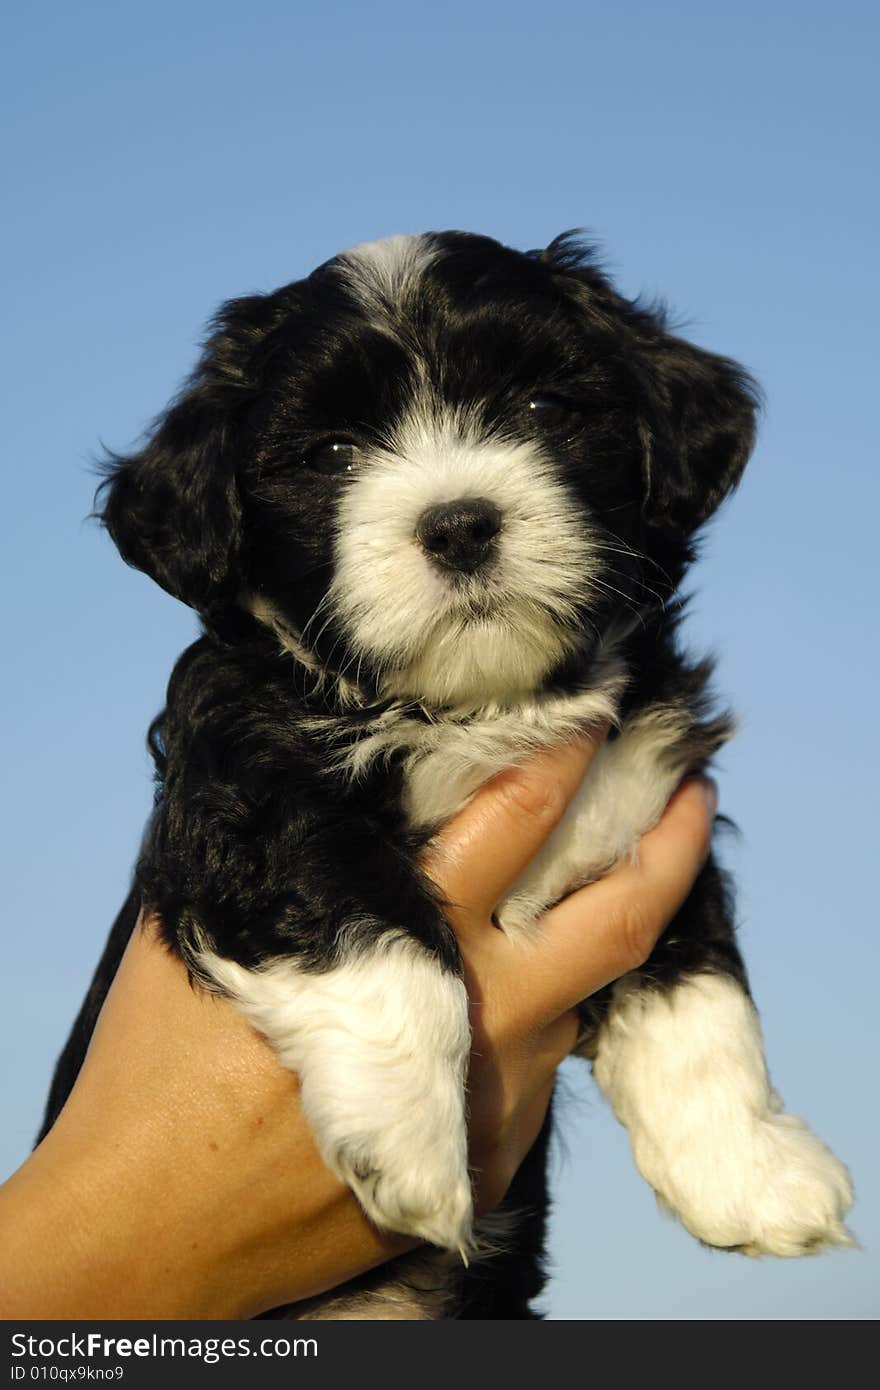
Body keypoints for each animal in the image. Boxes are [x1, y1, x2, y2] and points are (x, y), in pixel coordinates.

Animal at [39, 233, 850, 1317]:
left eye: (543, 408)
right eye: (332, 454)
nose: (459, 523)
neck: (480, 707)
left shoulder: (641, 803)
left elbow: (700, 984)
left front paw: (750, 1168)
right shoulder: (245, 793)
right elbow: (374, 921)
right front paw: (409, 1143)